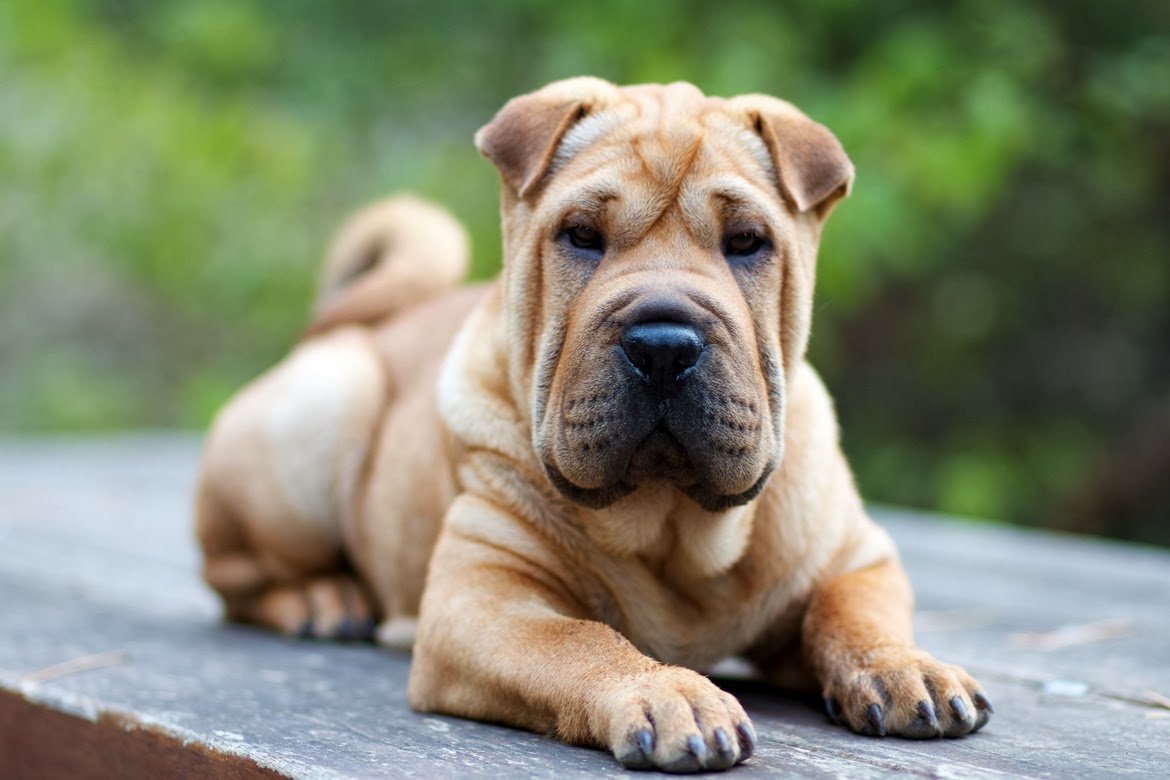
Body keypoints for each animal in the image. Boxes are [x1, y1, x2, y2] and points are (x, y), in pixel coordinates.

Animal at [196, 77, 992, 776]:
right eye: (581, 235)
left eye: (747, 242)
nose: (663, 345)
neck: (675, 529)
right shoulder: (482, 598)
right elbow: (580, 639)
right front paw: (670, 693)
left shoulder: (851, 556)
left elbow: (854, 614)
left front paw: (905, 668)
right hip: (321, 414)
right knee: (235, 577)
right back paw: (321, 598)